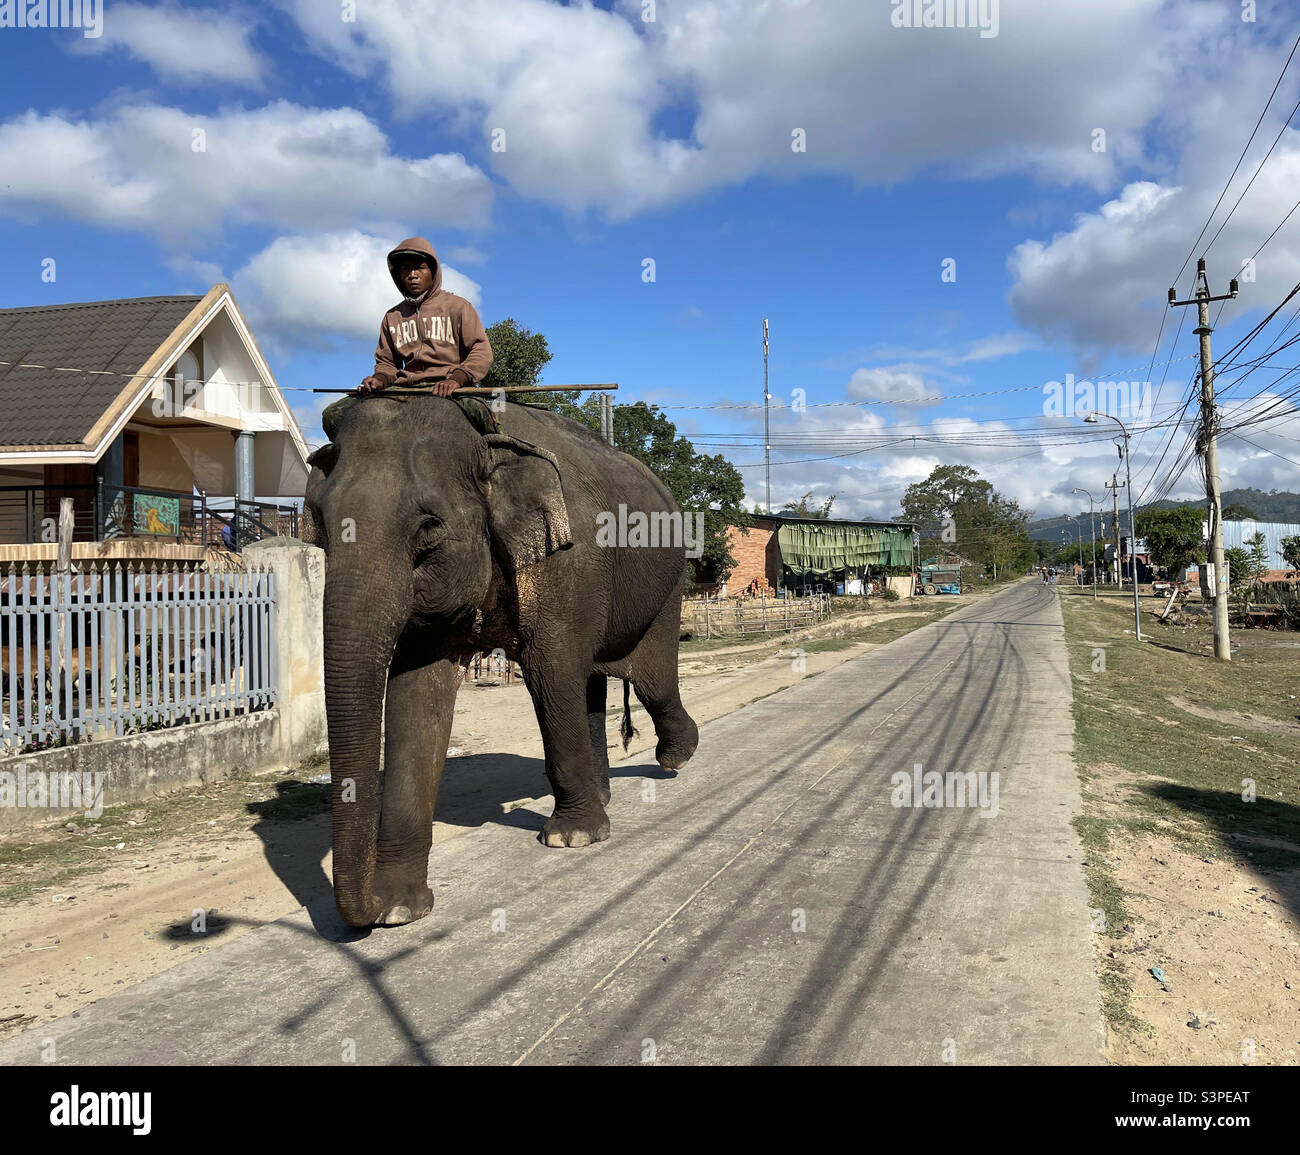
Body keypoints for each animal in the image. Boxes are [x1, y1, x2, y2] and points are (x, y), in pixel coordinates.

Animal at [304, 394, 700, 928]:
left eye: (429, 529)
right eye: (320, 525)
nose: (371, 907)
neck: (485, 438)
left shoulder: (566, 561)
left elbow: (550, 673)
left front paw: (570, 839)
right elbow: (416, 696)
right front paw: (403, 908)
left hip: (668, 580)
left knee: (650, 678)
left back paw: (676, 757)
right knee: (593, 683)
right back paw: (607, 793)